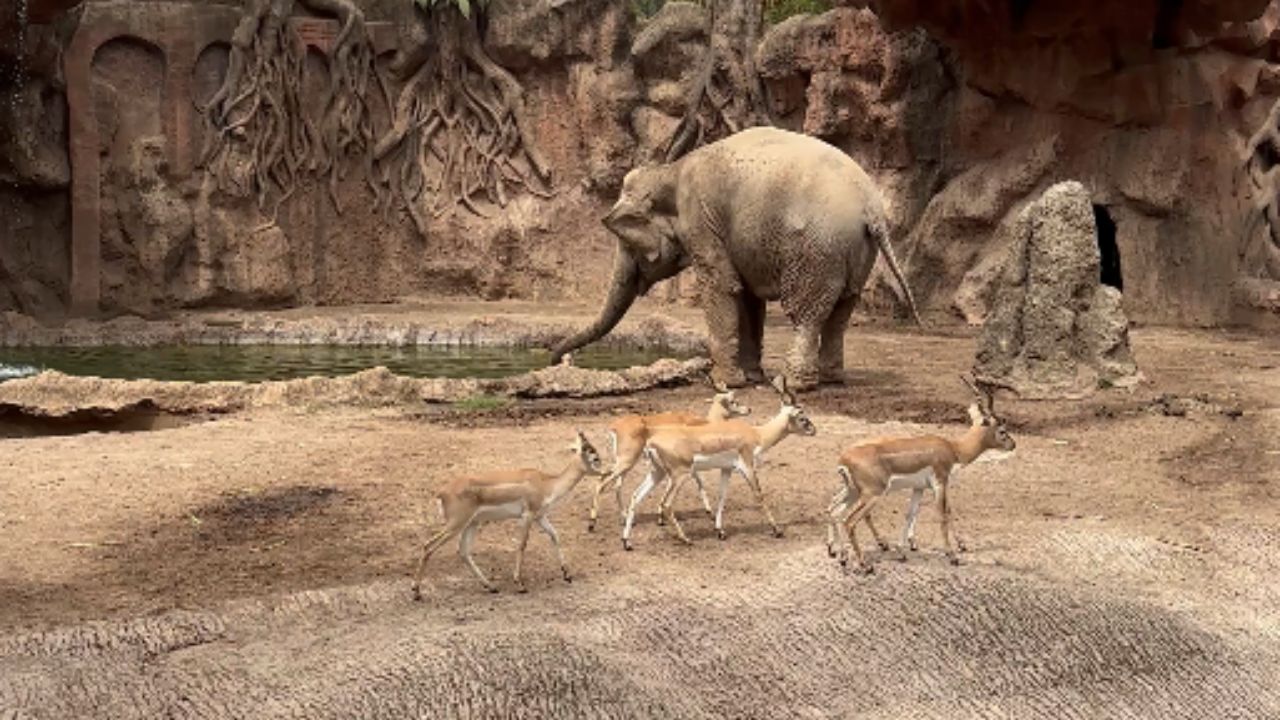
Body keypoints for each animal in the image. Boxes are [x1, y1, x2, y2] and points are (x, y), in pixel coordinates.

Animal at [411, 429, 605, 598]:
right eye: (594, 456)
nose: (605, 472)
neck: (546, 484)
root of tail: (442, 492)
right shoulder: (527, 516)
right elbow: (522, 545)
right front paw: (519, 584)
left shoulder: (540, 517)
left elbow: (555, 536)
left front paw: (567, 575)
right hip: (456, 524)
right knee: (428, 546)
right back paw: (417, 592)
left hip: (471, 524)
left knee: (464, 552)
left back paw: (491, 587)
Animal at [550, 126, 920, 390]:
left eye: (627, 243)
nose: (557, 359)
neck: (670, 171)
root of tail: (871, 208)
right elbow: (747, 295)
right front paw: (750, 379)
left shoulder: (701, 218)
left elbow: (722, 286)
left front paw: (722, 384)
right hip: (856, 251)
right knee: (842, 309)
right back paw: (829, 380)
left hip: (818, 248)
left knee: (806, 313)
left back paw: (794, 384)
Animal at [587, 376, 752, 532]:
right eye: (733, 401)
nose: (749, 409)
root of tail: (615, 427)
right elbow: (697, 480)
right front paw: (708, 512)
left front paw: (661, 517)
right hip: (627, 461)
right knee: (602, 482)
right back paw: (592, 523)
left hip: (623, 462)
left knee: (615, 484)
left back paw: (626, 518)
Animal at [622, 376, 817, 550]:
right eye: (802, 417)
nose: (814, 430)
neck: (757, 434)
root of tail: (652, 442)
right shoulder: (747, 467)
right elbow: (759, 495)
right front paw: (777, 530)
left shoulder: (727, 469)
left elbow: (722, 496)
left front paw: (720, 531)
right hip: (679, 476)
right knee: (667, 505)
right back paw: (686, 539)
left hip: (657, 473)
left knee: (635, 497)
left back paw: (627, 542)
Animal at [828, 375, 1015, 574]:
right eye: (1002, 430)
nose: (1013, 444)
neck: (954, 449)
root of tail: (844, 459)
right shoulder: (940, 482)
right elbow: (944, 514)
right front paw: (953, 554)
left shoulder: (919, 487)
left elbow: (910, 513)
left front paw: (902, 551)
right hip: (872, 494)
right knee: (849, 520)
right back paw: (866, 564)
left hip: (853, 491)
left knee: (834, 510)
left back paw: (841, 556)